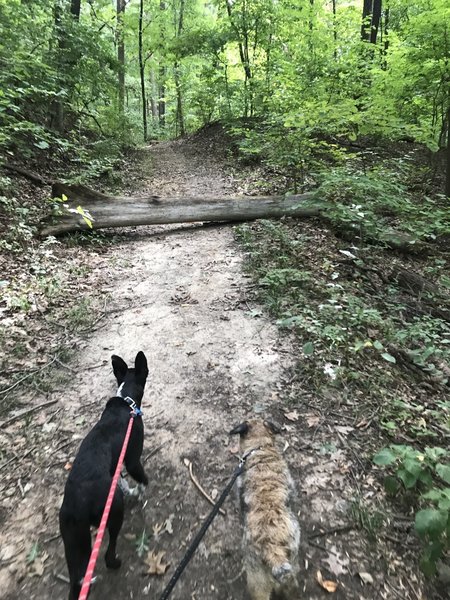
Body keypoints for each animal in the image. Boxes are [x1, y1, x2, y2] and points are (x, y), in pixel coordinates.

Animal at [59, 352, 149, 600]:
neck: (126, 401)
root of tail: (78, 505)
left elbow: (123, 479)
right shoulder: (132, 460)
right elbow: (143, 480)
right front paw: (140, 492)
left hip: (73, 539)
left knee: (76, 580)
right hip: (114, 510)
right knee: (108, 554)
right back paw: (116, 563)